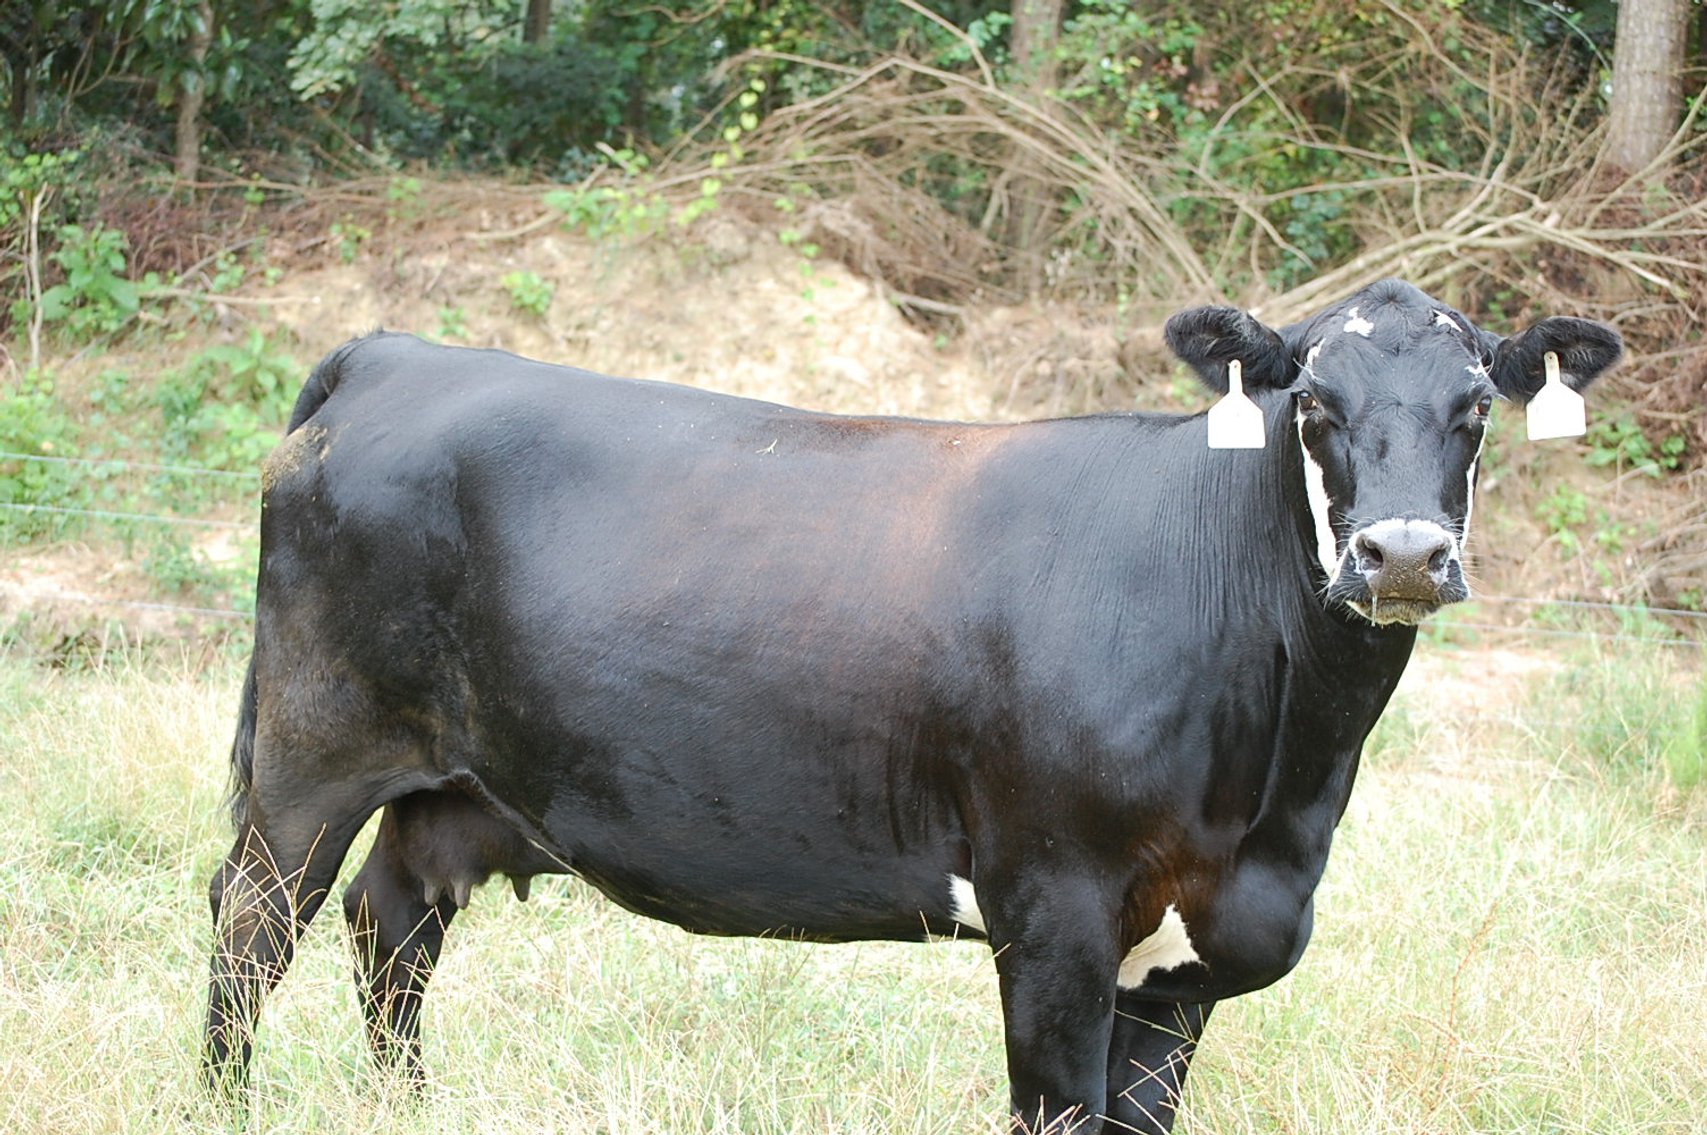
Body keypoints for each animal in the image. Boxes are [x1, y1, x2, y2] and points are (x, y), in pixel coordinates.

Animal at [204, 278, 1620, 1132]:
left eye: (1475, 407)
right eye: (1314, 401)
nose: (1401, 554)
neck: (1279, 789)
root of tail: (397, 354)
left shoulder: (1184, 965)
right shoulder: (1052, 912)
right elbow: (1057, 1106)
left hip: (458, 785)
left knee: (396, 927)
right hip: (316, 747)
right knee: (254, 926)